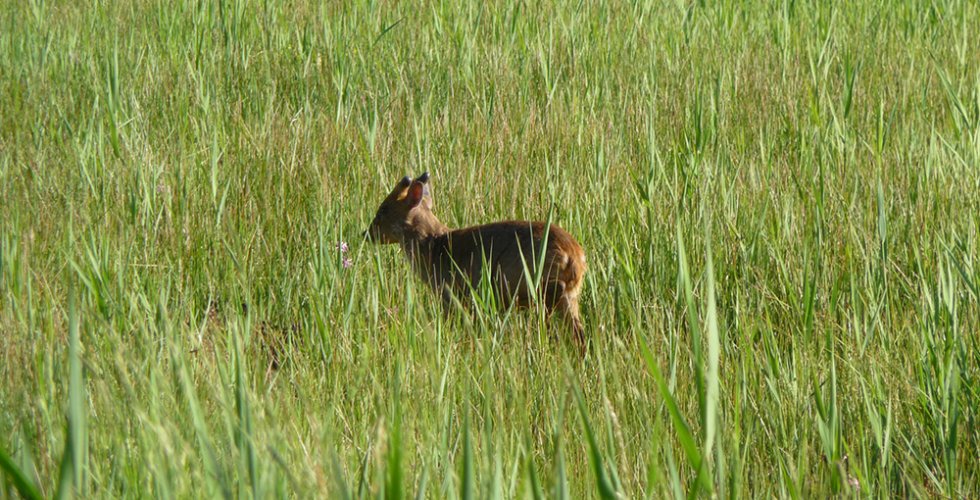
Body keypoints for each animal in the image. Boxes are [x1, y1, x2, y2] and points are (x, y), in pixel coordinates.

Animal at [364, 172, 584, 344]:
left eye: (383, 209)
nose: (366, 234)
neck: (435, 248)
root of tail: (576, 257)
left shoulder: (451, 295)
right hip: (571, 296)